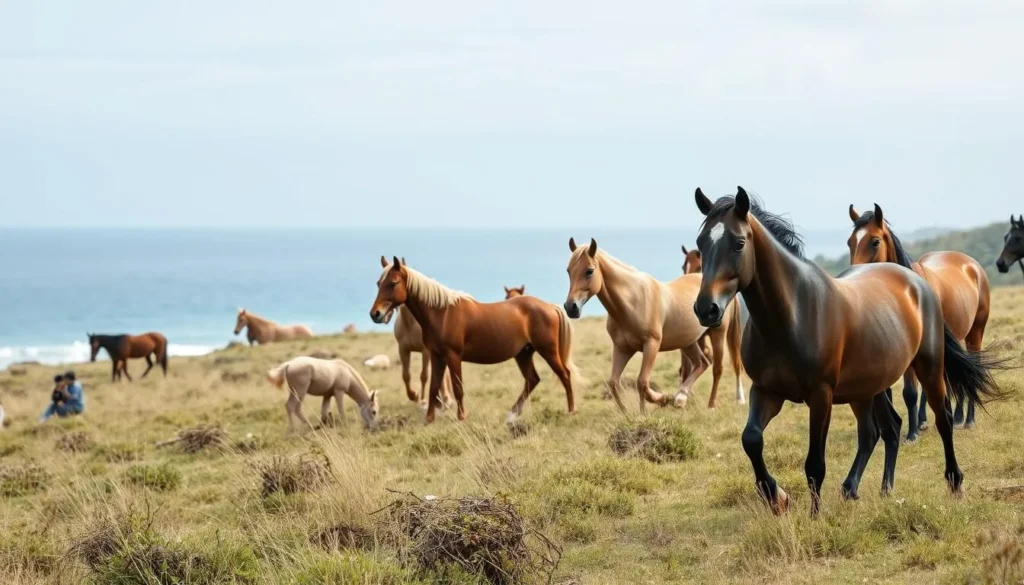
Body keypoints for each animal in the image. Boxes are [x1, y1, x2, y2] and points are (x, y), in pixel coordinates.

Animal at [370, 256, 579, 424]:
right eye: (378, 283)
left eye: (393, 283)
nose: (375, 314)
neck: (442, 314)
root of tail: (550, 306)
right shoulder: (437, 356)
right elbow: (433, 387)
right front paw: (429, 419)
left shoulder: (453, 356)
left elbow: (457, 388)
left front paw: (461, 417)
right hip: (523, 353)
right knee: (532, 379)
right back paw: (512, 414)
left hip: (548, 351)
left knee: (565, 375)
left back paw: (570, 411)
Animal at [563, 238, 709, 411]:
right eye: (568, 271)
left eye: (589, 271)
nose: (570, 307)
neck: (632, 302)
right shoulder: (622, 348)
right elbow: (614, 383)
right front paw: (628, 412)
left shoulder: (651, 345)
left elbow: (642, 383)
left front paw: (658, 401)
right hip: (687, 342)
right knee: (702, 363)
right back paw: (680, 398)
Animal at [680, 244, 747, 407]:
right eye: (683, 267)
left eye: (699, 267)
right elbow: (688, 365)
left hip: (722, 334)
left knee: (725, 366)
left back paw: (723, 402)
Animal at [847, 204, 991, 435]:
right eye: (850, 242)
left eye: (875, 241)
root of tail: (971, 264)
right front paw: (915, 427)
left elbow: (911, 391)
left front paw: (912, 433)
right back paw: (954, 417)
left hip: (975, 332)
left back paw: (968, 419)